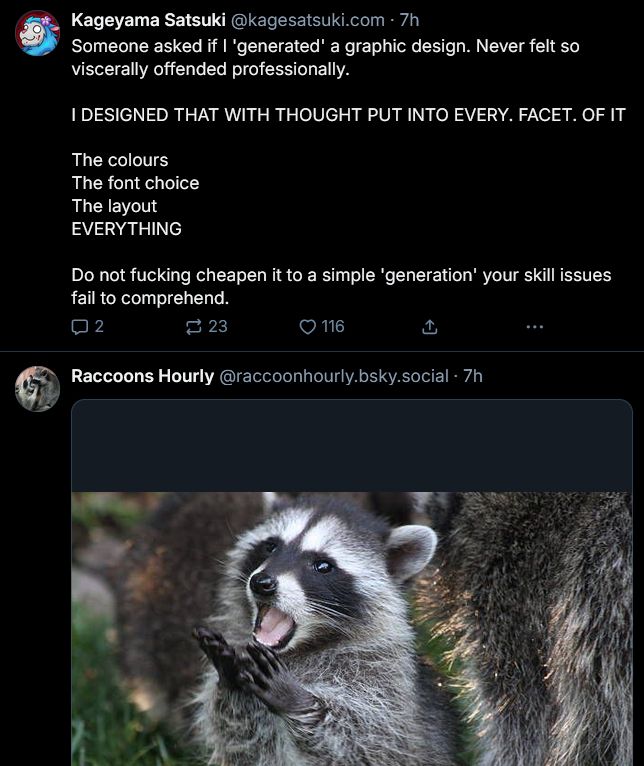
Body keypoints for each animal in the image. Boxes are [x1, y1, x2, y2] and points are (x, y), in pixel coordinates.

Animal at [193, 493, 458, 765]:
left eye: (322, 566)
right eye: (271, 546)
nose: (261, 583)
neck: (301, 647)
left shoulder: (384, 686)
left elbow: (365, 744)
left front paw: (297, 700)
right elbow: (244, 742)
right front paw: (231, 678)